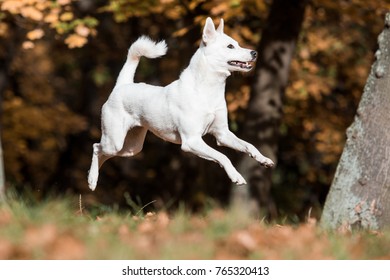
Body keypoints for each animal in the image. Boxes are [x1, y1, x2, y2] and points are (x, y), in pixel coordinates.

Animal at [87, 17, 274, 191]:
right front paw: (236, 176)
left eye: (237, 44)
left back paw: (93, 179)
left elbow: (248, 145)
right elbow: (223, 156)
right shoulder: (192, 141)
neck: (208, 91)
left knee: (103, 153)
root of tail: (122, 85)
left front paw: (263, 159)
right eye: (230, 46)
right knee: (96, 148)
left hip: (131, 148)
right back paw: (91, 179)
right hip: (115, 141)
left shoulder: (222, 134)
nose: (254, 52)